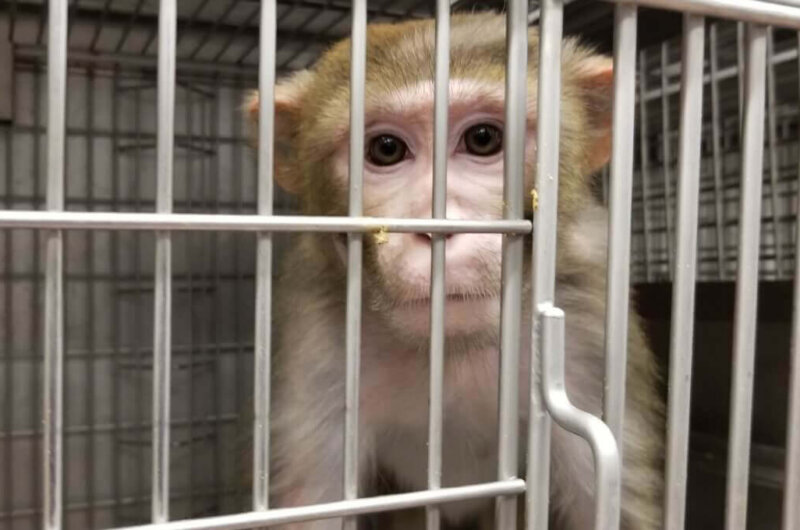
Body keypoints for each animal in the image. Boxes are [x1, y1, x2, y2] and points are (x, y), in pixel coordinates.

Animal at [244, 12, 664, 530]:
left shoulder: (589, 328)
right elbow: (314, 502)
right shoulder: (317, 340)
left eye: (483, 139)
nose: (437, 231)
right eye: (386, 149)